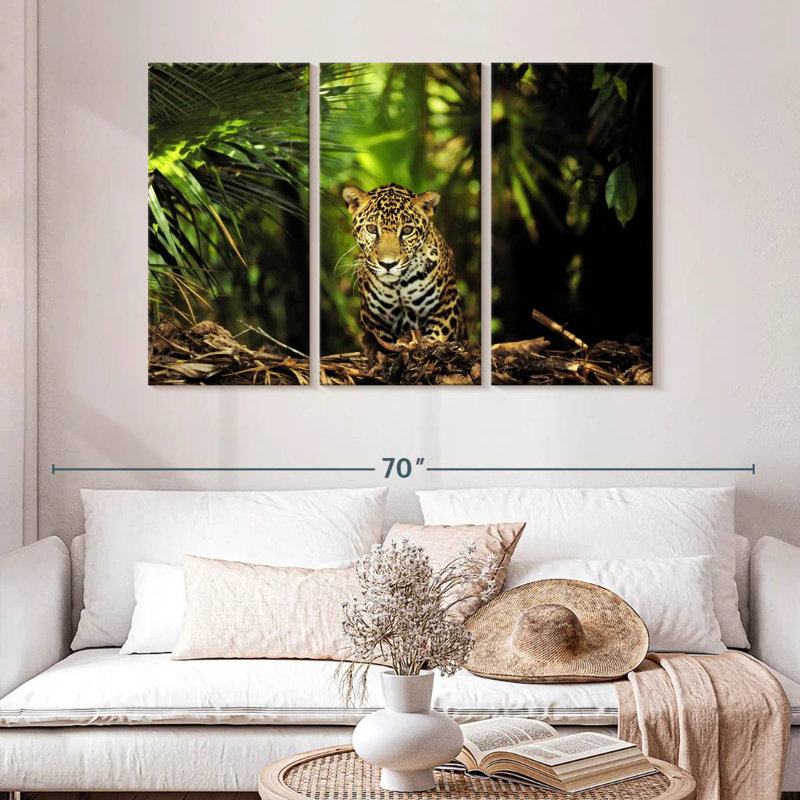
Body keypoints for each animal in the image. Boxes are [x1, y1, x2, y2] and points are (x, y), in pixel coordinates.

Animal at [342, 183, 466, 343]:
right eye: (371, 229)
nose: (388, 264)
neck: (398, 286)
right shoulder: (373, 319)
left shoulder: (447, 305)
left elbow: (435, 338)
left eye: (407, 230)